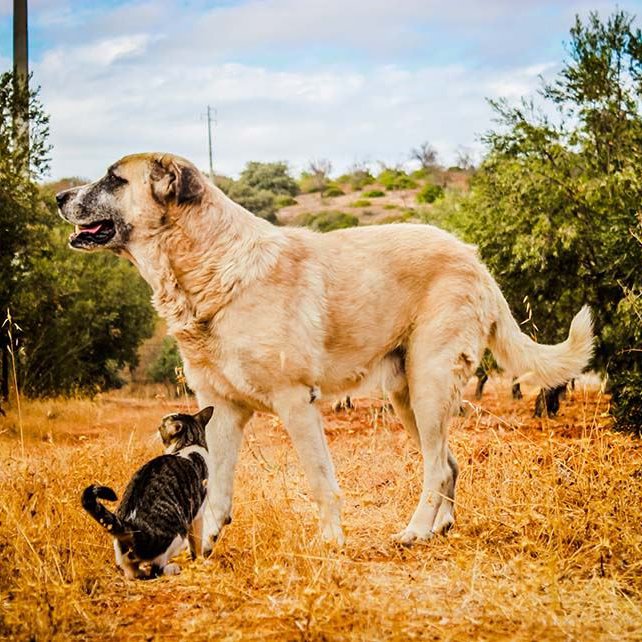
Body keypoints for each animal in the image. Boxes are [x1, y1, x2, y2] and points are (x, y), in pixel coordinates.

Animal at [57, 152, 592, 548]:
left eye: (113, 178)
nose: (60, 196)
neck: (210, 267)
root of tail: (472, 256)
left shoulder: (296, 402)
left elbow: (319, 480)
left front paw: (331, 541)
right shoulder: (222, 409)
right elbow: (216, 488)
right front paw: (205, 545)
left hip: (429, 385)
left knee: (438, 466)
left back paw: (415, 531)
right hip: (408, 396)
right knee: (447, 464)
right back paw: (438, 527)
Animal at [81, 408, 212, 576]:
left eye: (161, 425)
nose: (159, 421)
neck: (189, 442)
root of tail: (131, 525)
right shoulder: (198, 514)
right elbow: (196, 542)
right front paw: (199, 560)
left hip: (125, 557)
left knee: (133, 572)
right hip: (178, 533)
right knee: (157, 570)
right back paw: (172, 568)